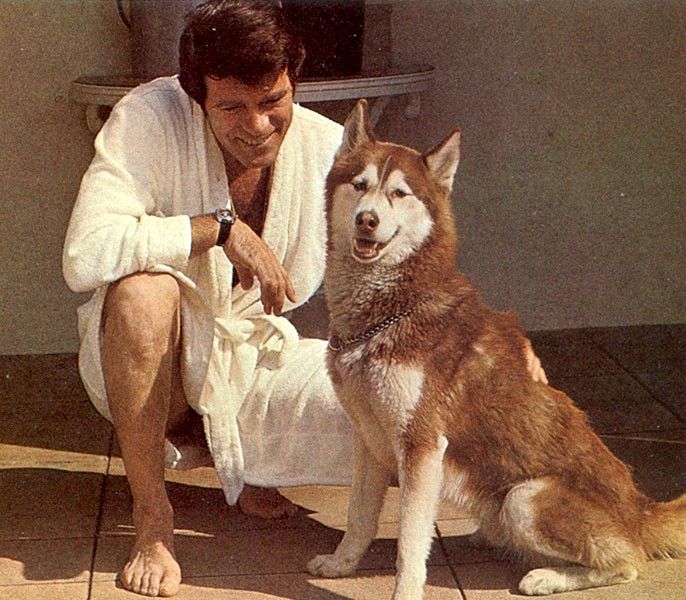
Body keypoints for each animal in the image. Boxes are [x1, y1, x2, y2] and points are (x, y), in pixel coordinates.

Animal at [308, 101, 686, 596]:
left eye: (399, 193)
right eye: (360, 185)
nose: (366, 219)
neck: (391, 310)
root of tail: (640, 509)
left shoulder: (422, 448)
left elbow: (409, 546)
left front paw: (404, 590)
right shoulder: (369, 441)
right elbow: (358, 517)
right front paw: (342, 564)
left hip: (525, 497)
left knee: (627, 562)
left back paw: (548, 576)